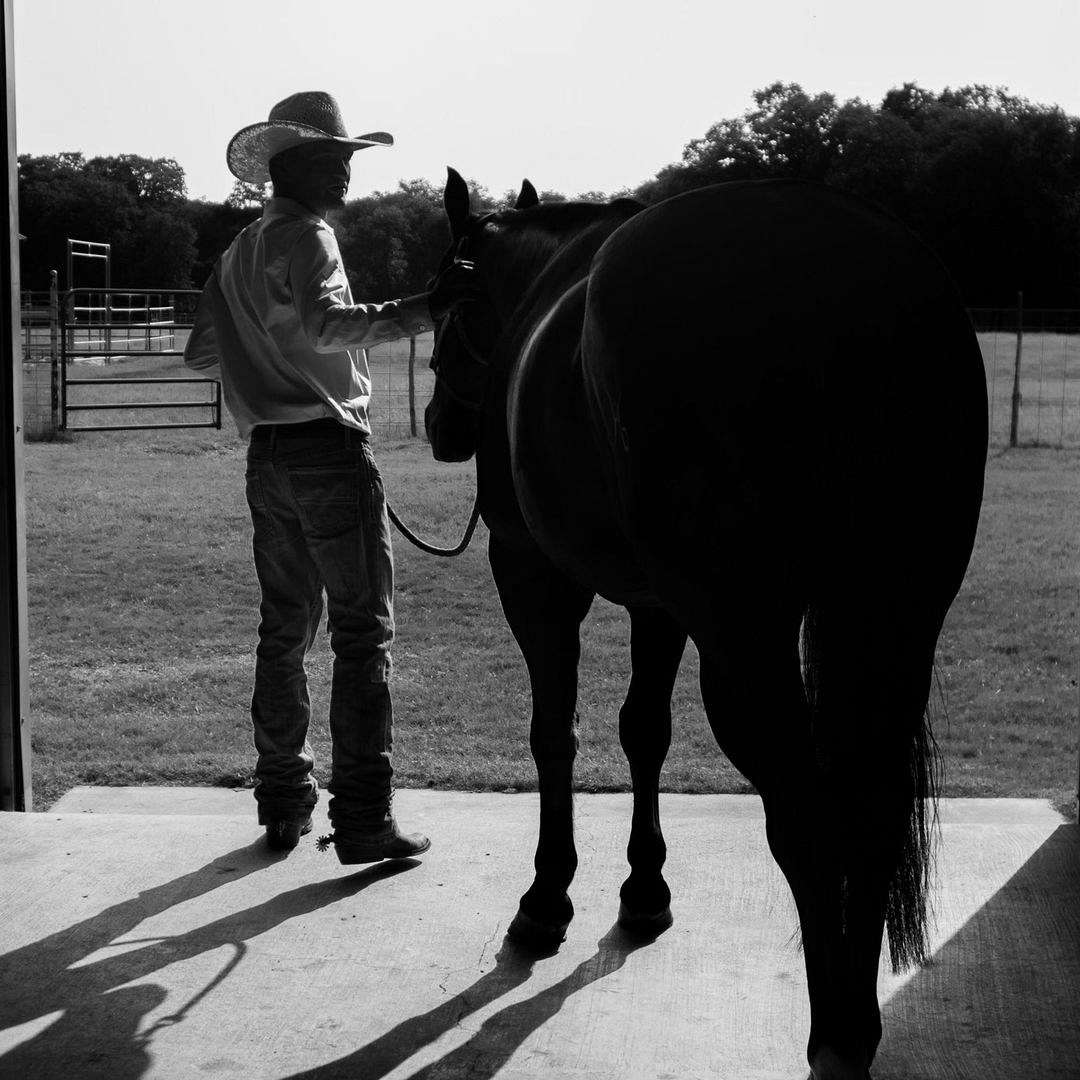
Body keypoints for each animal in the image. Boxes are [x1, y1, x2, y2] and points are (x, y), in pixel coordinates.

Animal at [423, 170, 989, 1080]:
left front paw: (546, 899)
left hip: (746, 639)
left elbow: (554, 733)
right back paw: (857, 1028)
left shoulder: (533, 574)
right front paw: (643, 892)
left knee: (806, 819)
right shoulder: (658, 607)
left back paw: (834, 1037)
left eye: (446, 295)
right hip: (893, 615)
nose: (443, 424)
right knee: (870, 810)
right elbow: (643, 731)